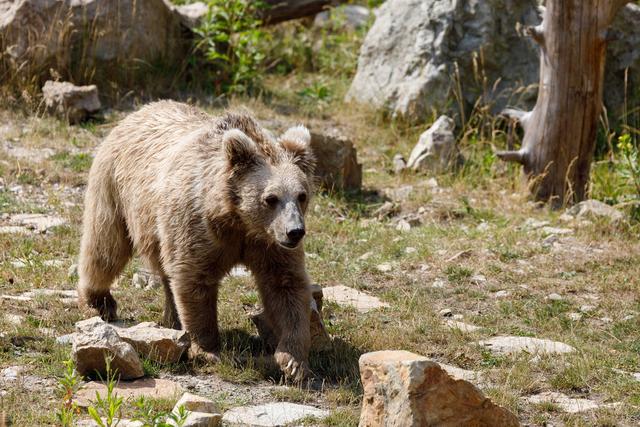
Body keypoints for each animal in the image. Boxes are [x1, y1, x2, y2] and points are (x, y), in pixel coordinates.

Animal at [78, 101, 318, 382]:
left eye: (302, 195)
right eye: (271, 198)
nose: (295, 231)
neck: (238, 221)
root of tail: (138, 111)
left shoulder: (268, 244)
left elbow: (286, 286)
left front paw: (294, 361)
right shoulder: (198, 226)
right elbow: (195, 280)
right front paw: (207, 349)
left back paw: (171, 318)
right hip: (115, 189)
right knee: (105, 246)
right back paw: (99, 301)